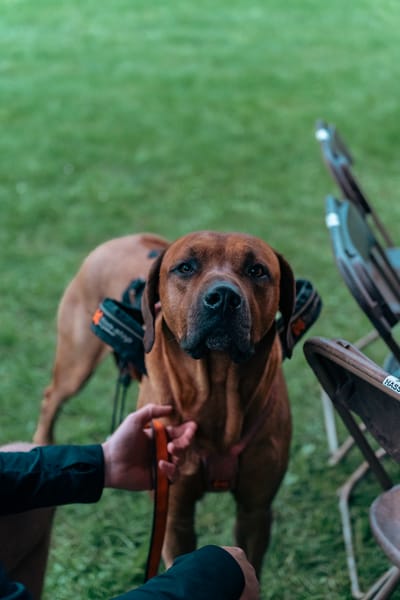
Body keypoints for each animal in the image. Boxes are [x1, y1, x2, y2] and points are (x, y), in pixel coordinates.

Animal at [33, 231, 294, 576]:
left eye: (257, 270)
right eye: (185, 267)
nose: (224, 298)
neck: (218, 389)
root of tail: (123, 238)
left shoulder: (256, 509)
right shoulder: (174, 514)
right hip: (77, 361)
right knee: (51, 397)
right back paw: (41, 441)